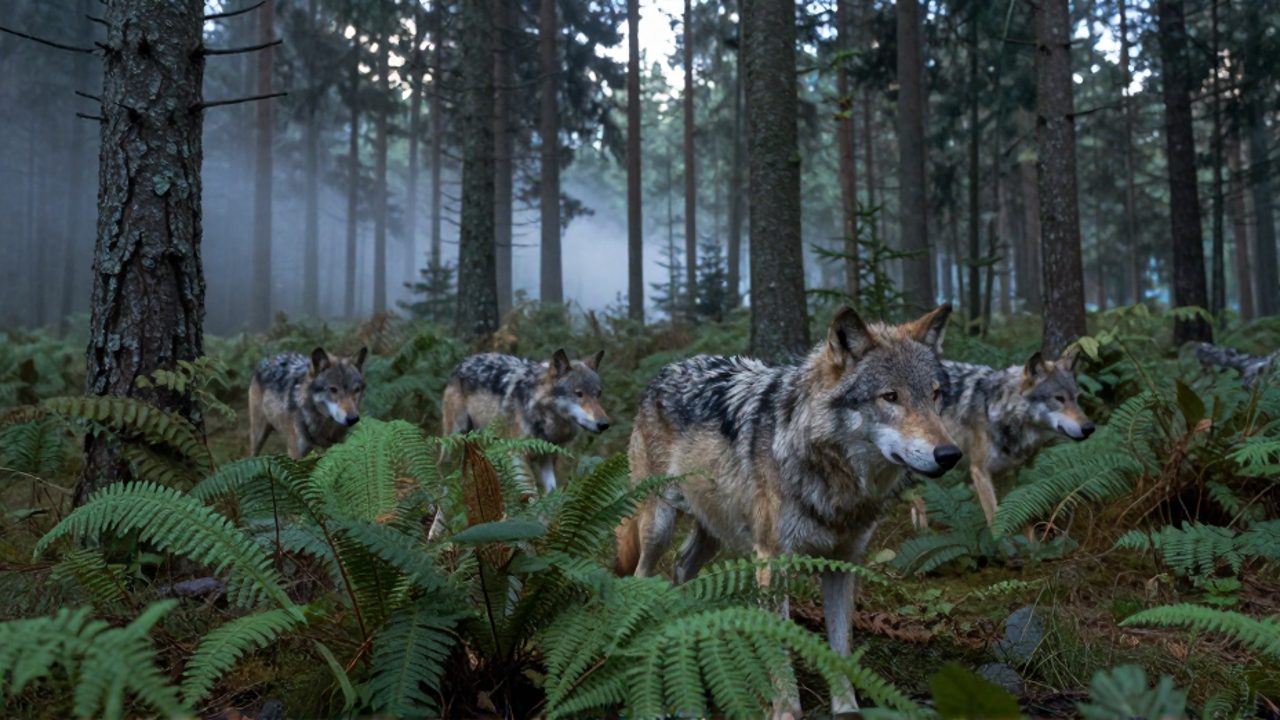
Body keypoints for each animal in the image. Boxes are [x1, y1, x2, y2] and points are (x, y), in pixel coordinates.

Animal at [441, 349, 609, 493]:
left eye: (598, 394)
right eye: (579, 394)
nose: (604, 424)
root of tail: (462, 362)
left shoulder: (548, 457)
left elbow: (551, 492)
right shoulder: (517, 456)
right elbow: (531, 495)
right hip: (456, 440)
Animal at [614, 305, 959, 714]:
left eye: (935, 395)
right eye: (890, 396)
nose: (950, 454)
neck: (834, 479)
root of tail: (668, 368)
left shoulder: (845, 562)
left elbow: (840, 650)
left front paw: (847, 710)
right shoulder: (773, 560)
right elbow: (778, 650)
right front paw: (785, 711)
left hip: (714, 531)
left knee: (682, 566)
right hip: (660, 525)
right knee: (641, 576)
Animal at [911, 350, 1095, 531]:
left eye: (1077, 398)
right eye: (1059, 398)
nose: (1090, 428)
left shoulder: (1008, 473)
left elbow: (1012, 515)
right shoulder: (980, 471)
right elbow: (995, 519)